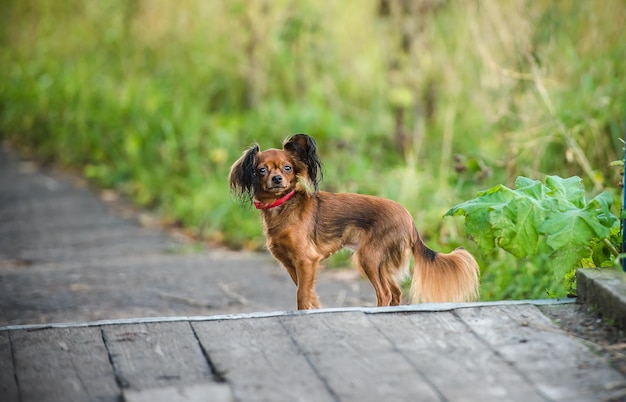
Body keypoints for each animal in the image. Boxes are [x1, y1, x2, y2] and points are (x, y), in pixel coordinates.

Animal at [229, 133, 478, 310]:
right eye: (262, 170)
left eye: (287, 168)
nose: (277, 178)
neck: (282, 206)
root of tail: (409, 220)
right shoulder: (291, 264)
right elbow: (309, 294)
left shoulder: (306, 260)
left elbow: (302, 296)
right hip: (379, 261)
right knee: (396, 292)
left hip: (369, 257)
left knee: (385, 293)